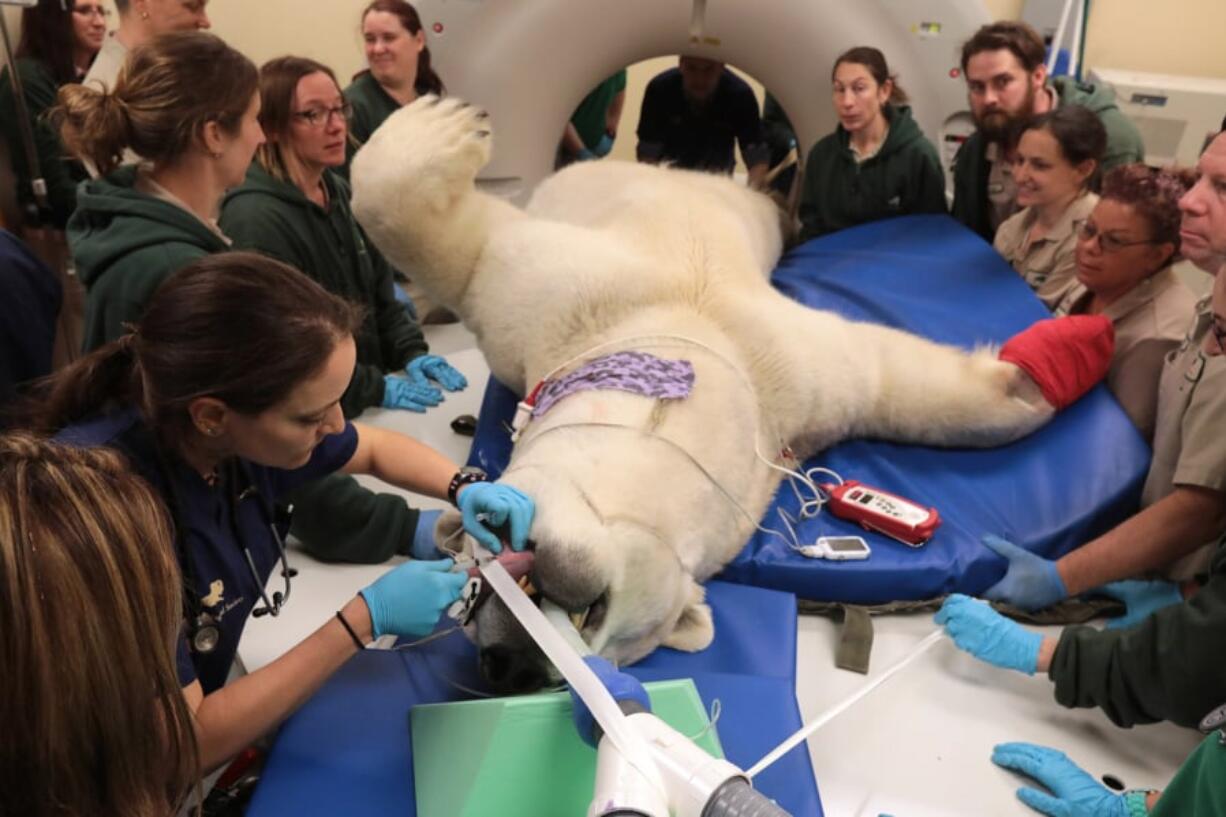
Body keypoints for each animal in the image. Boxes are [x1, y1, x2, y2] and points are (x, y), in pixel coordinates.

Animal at [350, 98, 1108, 691]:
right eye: (464, 588)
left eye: (613, 640)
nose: (511, 665)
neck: (676, 336)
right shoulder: (550, 305)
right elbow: (457, 250)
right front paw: (442, 124)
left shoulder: (779, 373)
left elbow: (888, 381)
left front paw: (1059, 359)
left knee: (761, 204)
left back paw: (779, 177)